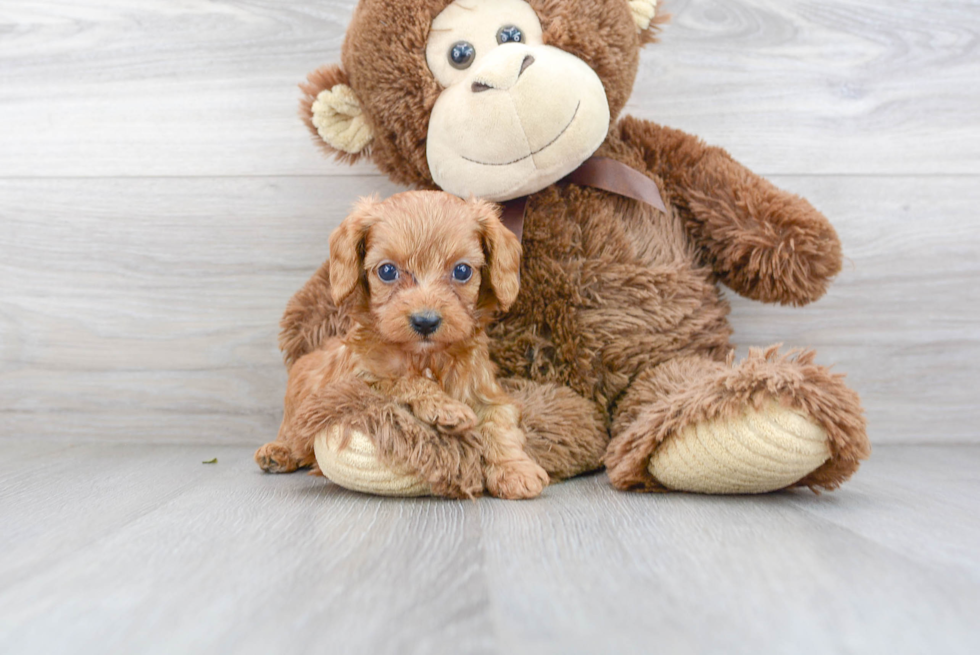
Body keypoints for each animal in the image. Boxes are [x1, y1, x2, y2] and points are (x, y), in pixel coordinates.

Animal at [256, 192, 552, 500]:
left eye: (462, 271)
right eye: (387, 271)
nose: (425, 321)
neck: (424, 356)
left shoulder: (489, 395)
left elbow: (499, 425)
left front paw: (516, 470)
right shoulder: (353, 381)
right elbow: (401, 381)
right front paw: (445, 407)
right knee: (292, 430)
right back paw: (279, 451)